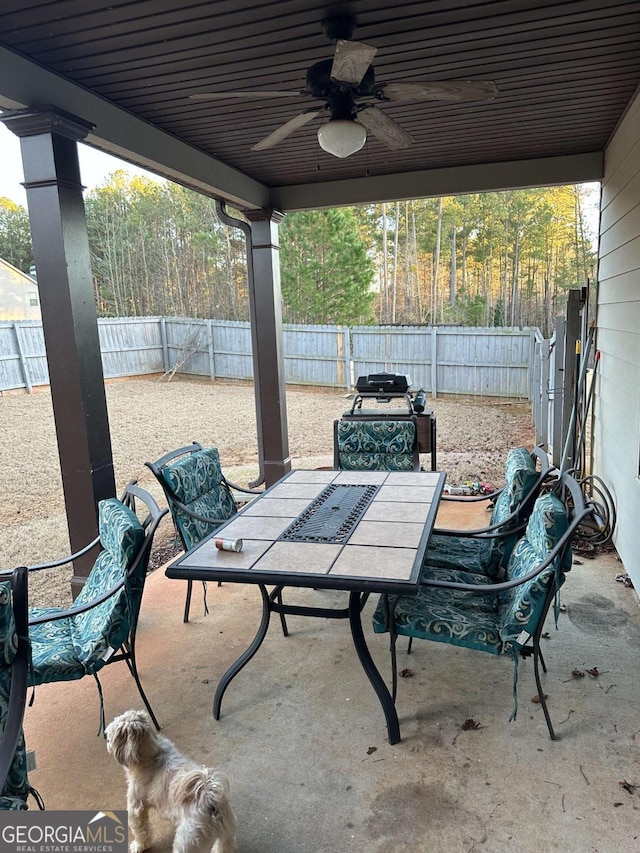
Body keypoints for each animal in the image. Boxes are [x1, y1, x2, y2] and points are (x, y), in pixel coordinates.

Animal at [106, 704, 236, 852]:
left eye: (109, 737)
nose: (105, 739)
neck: (152, 753)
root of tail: (209, 798)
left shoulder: (135, 807)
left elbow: (140, 830)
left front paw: (138, 846)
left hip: (186, 842)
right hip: (227, 833)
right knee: (225, 846)